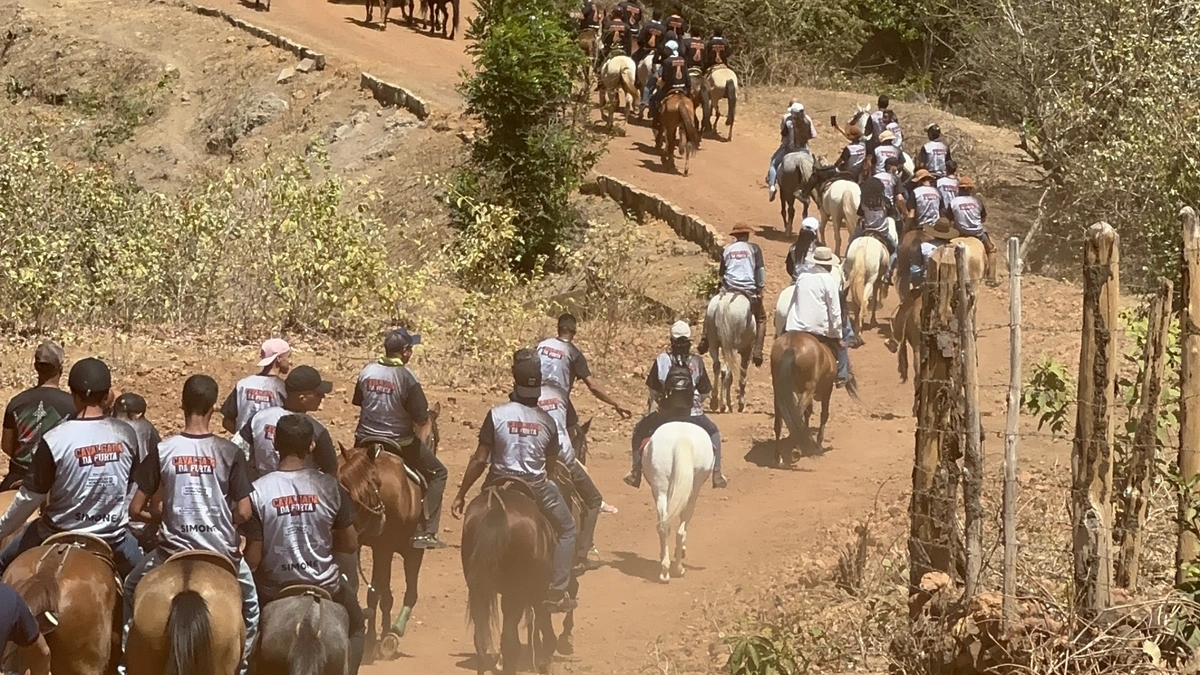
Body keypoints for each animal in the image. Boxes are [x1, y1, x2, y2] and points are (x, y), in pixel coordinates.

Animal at [338, 398, 441, 658]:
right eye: (433, 437)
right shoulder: (411, 551)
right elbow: (407, 593)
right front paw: (391, 633)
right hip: (384, 548)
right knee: (379, 592)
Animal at [648, 417, 710, 581]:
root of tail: (681, 438)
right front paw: (681, 551)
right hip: (693, 490)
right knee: (681, 528)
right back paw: (678, 568)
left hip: (661, 487)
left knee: (664, 526)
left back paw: (665, 570)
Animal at [768, 329, 854, 461]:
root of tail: (791, 346)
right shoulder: (827, 389)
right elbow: (824, 415)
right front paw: (818, 445)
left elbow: (807, 412)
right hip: (808, 389)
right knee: (797, 416)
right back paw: (799, 448)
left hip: (779, 391)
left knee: (780, 421)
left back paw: (778, 456)